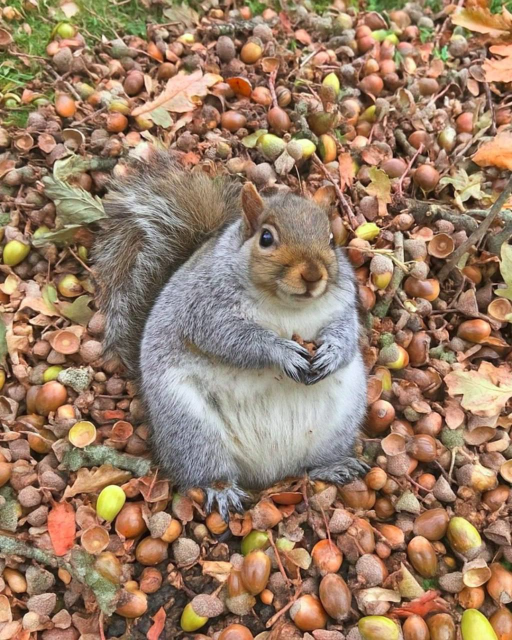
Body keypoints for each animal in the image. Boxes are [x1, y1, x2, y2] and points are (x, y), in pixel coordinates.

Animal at [93, 150, 369, 520]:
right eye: (266, 238)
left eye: (331, 240)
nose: (313, 275)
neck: (286, 307)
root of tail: (269, 471)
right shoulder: (204, 309)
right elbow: (231, 338)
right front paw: (282, 352)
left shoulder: (343, 306)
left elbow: (347, 334)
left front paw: (331, 353)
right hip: (191, 427)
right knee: (204, 471)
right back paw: (221, 490)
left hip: (340, 420)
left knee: (309, 466)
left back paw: (333, 467)